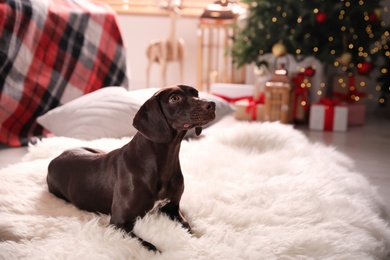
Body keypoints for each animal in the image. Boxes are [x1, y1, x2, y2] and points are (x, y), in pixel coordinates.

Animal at [47, 85, 216, 252]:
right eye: (174, 98)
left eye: (196, 93)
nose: (211, 104)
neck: (163, 161)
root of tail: (57, 157)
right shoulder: (118, 222)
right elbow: (149, 246)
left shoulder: (172, 208)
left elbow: (187, 226)